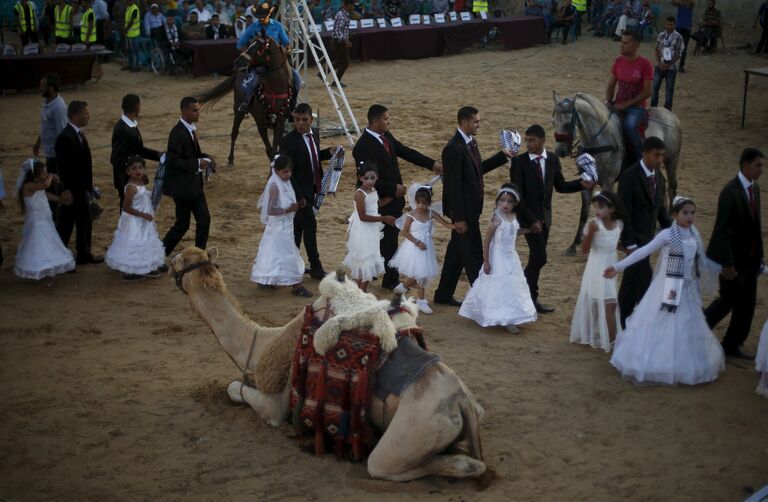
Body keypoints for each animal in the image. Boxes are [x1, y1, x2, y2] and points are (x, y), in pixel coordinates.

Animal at [172, 247, 488, 482]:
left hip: (415, 431)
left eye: (179, 260)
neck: (260, 342)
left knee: (392, 465)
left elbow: (235, 388)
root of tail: (462, 403)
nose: (168, 259)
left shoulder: (276, 404)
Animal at [195, 35, 294, 165]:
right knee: (234, 132)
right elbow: (269, 149)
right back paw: (230, 159)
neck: (275, 90)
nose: (236, 62)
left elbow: (274, 149)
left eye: (259, 48)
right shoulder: (260, 122)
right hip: (238, 111)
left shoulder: (280, 123)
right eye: (249, 43)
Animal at [552, 91, 684, 255]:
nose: (560, 151)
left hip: (672, 160)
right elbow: (584, 212)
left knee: (672, 186)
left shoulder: (608, 182)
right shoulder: (587, 183)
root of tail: (670, 115)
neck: (599, 142)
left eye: (567, 124)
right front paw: (574, 244)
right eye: (553, 122)